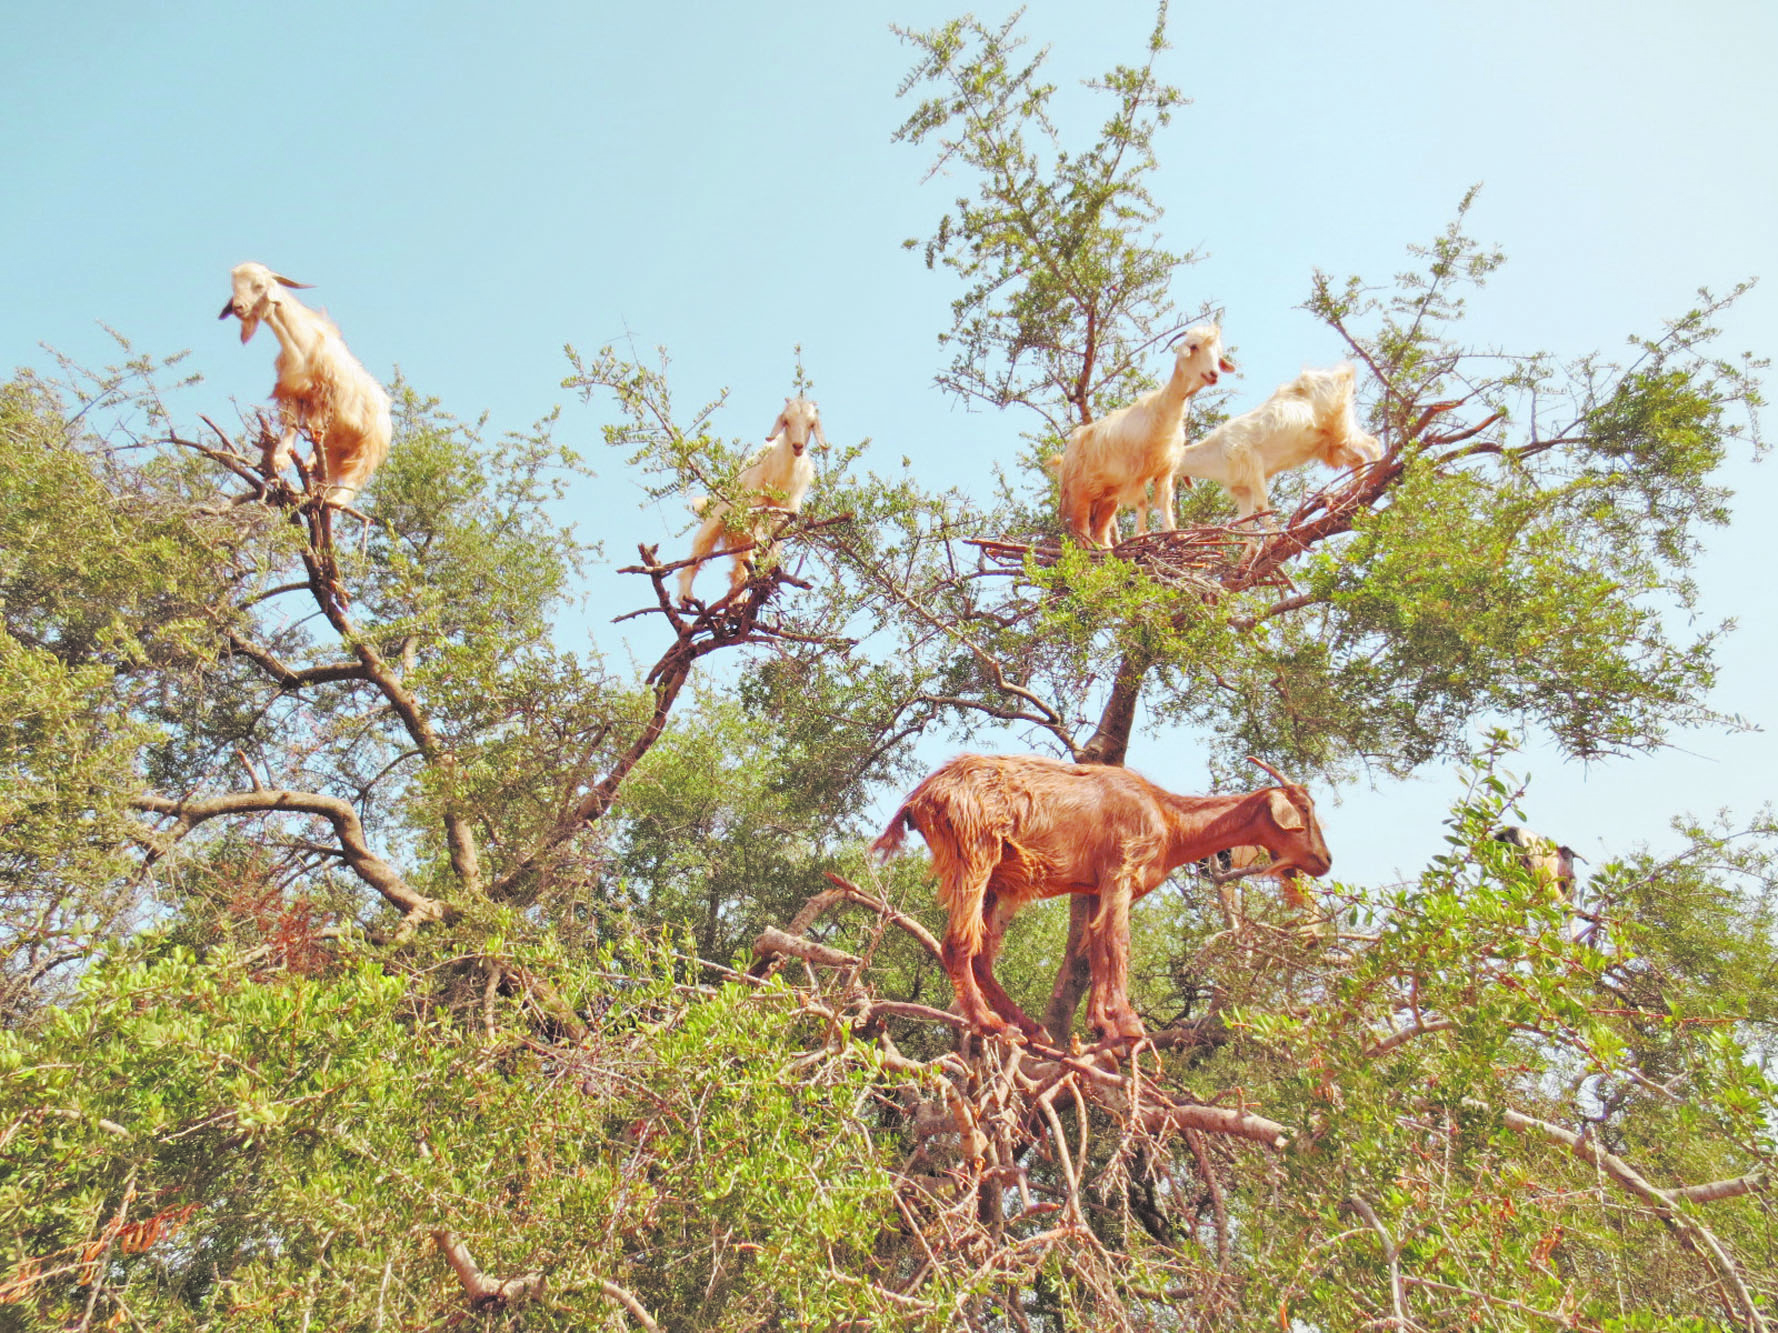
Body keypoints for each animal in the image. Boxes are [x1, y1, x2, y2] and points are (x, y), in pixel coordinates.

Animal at [218, 261, 392, 515]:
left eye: (258, 285)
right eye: (234, 287)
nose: (239, 307)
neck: (302, 345)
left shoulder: (324, 395)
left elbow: (315, 427)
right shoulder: (293, 393)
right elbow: (291, 425)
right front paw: (280, 460)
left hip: (368, 448)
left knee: (354, 480)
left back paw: (335, 501)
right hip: (339, 449)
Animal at [675, 396, 821, 604]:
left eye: (811, 424)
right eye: (786, 421)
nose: (798, 446)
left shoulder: (786, 512)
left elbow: (773, 542)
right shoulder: (755, 503)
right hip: (716, 522)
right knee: (700, 553)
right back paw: (686, 596)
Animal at [874, 757, 1337, 1052]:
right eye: (1304, 810)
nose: (1326, 861)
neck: (1168, 818)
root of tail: (922, 797)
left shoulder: (1096, 887)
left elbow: (1093, 949)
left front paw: (1102, 1025)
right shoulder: (1121, 869)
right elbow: (1118, 942)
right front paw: (1129, 1026)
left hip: (997, 883)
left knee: (984, 956)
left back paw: (1031, 1028)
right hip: (975, 852)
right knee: (957, 944)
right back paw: (991, 1024)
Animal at [1045, 325, 1230, 547]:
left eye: (1218, 353)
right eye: (1194, 346)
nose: (1213, 374)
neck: (1161, 413)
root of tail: (1064, 459)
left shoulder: (1164, 469)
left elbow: (1164, 501)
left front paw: (1174, 533)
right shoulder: (1134, 475)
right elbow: (1143, 502)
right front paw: (1141, 535)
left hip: (1106, 497)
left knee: (1100, 528)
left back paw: (1106, 548)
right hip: (1079, 492)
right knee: (1080, 528)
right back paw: (1091, 549)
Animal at [1173, 366, 1379, 533]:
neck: (1217, 452)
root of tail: (1342, 375)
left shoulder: (1253, 467)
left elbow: (1262, 507)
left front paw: (1271, 540)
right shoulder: (1242, 488)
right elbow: (1246, 522)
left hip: (1340, 425)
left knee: (1372, 443)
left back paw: (1373, 476)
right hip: (1328, 446)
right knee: (1357, 459)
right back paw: (1353, 493)